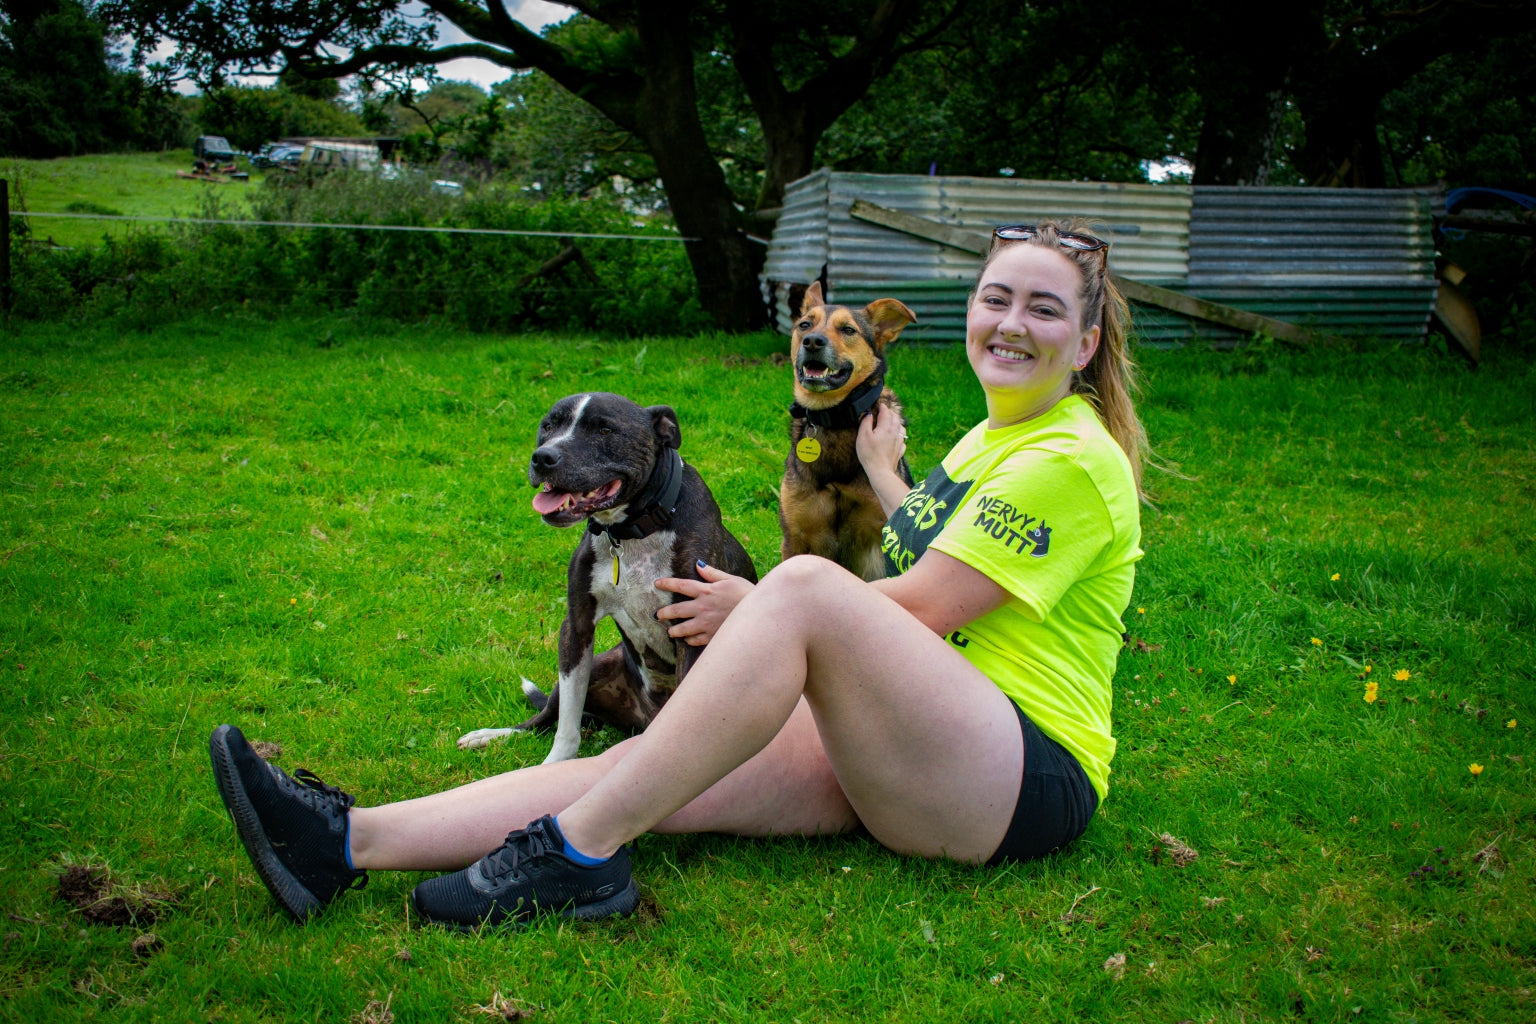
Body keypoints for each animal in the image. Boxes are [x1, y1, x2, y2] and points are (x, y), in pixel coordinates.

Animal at [460, 393, 761, 761]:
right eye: (548, 426)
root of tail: (645, 719)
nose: (543, 457)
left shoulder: (693, 629)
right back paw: (491, 736)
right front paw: (554, 764)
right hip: (599, 665)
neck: (630, 531)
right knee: (543, 719)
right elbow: (567, 726)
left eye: (604, 430)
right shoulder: (577, 626)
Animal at [780, 284, 909, 580]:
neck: (833, 419)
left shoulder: (883, 537)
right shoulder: (795, 537)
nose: (812, 341)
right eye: (805, 325)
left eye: (848, 329)